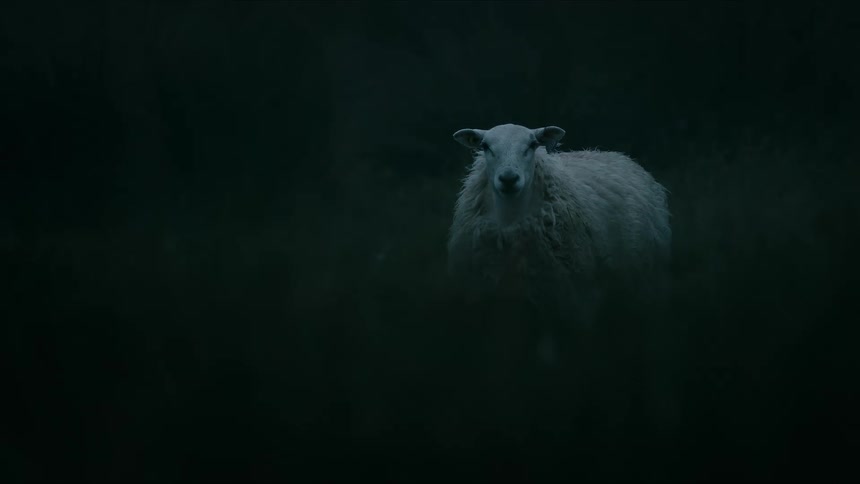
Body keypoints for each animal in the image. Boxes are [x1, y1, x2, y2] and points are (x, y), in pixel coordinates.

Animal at [446, 123, 672, 364]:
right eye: (485, 146)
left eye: (532, 144)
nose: (508, 179)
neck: (510, 221)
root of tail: (619, 156)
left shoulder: (568, 301)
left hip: (644, 284)